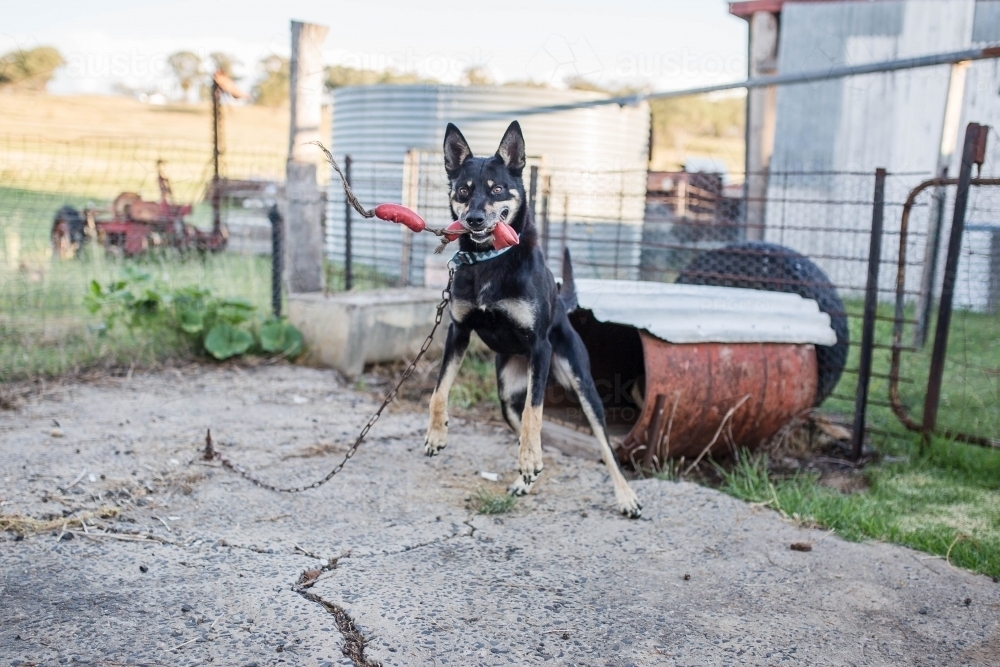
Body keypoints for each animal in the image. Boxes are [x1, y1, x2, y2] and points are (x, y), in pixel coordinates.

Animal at [422, 120, 640, 520]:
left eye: (496, 189)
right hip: (506, 395)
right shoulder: (458, 333)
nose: (474, 219)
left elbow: (534, 415)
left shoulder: (539, 346)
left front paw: (526, 458)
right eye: (463, 190)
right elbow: (439, 391)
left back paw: (625, 496)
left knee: (603, 447)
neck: (490, 260)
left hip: (581, 385)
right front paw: (436, 434)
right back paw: (527, 478)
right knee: (532, 430)